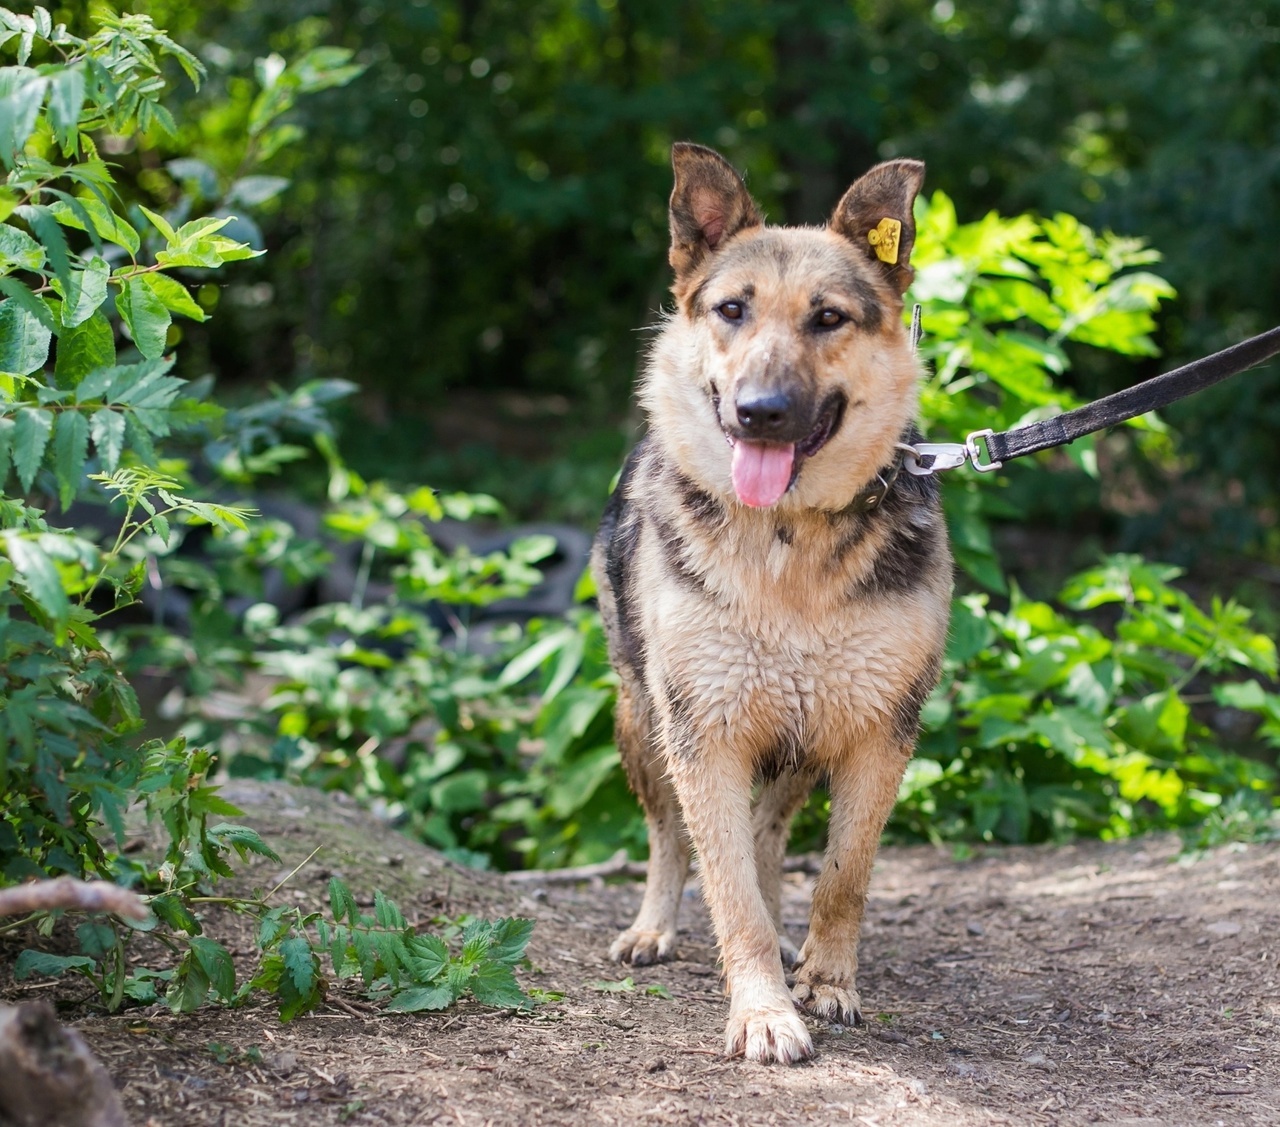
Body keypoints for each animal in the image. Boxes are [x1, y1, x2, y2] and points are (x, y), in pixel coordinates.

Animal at [588, 142, 952, 1065]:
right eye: (731, 309)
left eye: (828, 318)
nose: (760, 414)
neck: (788, 538)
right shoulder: (703, 732)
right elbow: (725, 888)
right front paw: (761, 1011)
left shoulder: (877, 732)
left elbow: (843, 875)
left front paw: (826, 980)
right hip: (642, 724)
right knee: (669, 837)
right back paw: (653, 927)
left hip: (802, 744)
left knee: (767, 837)